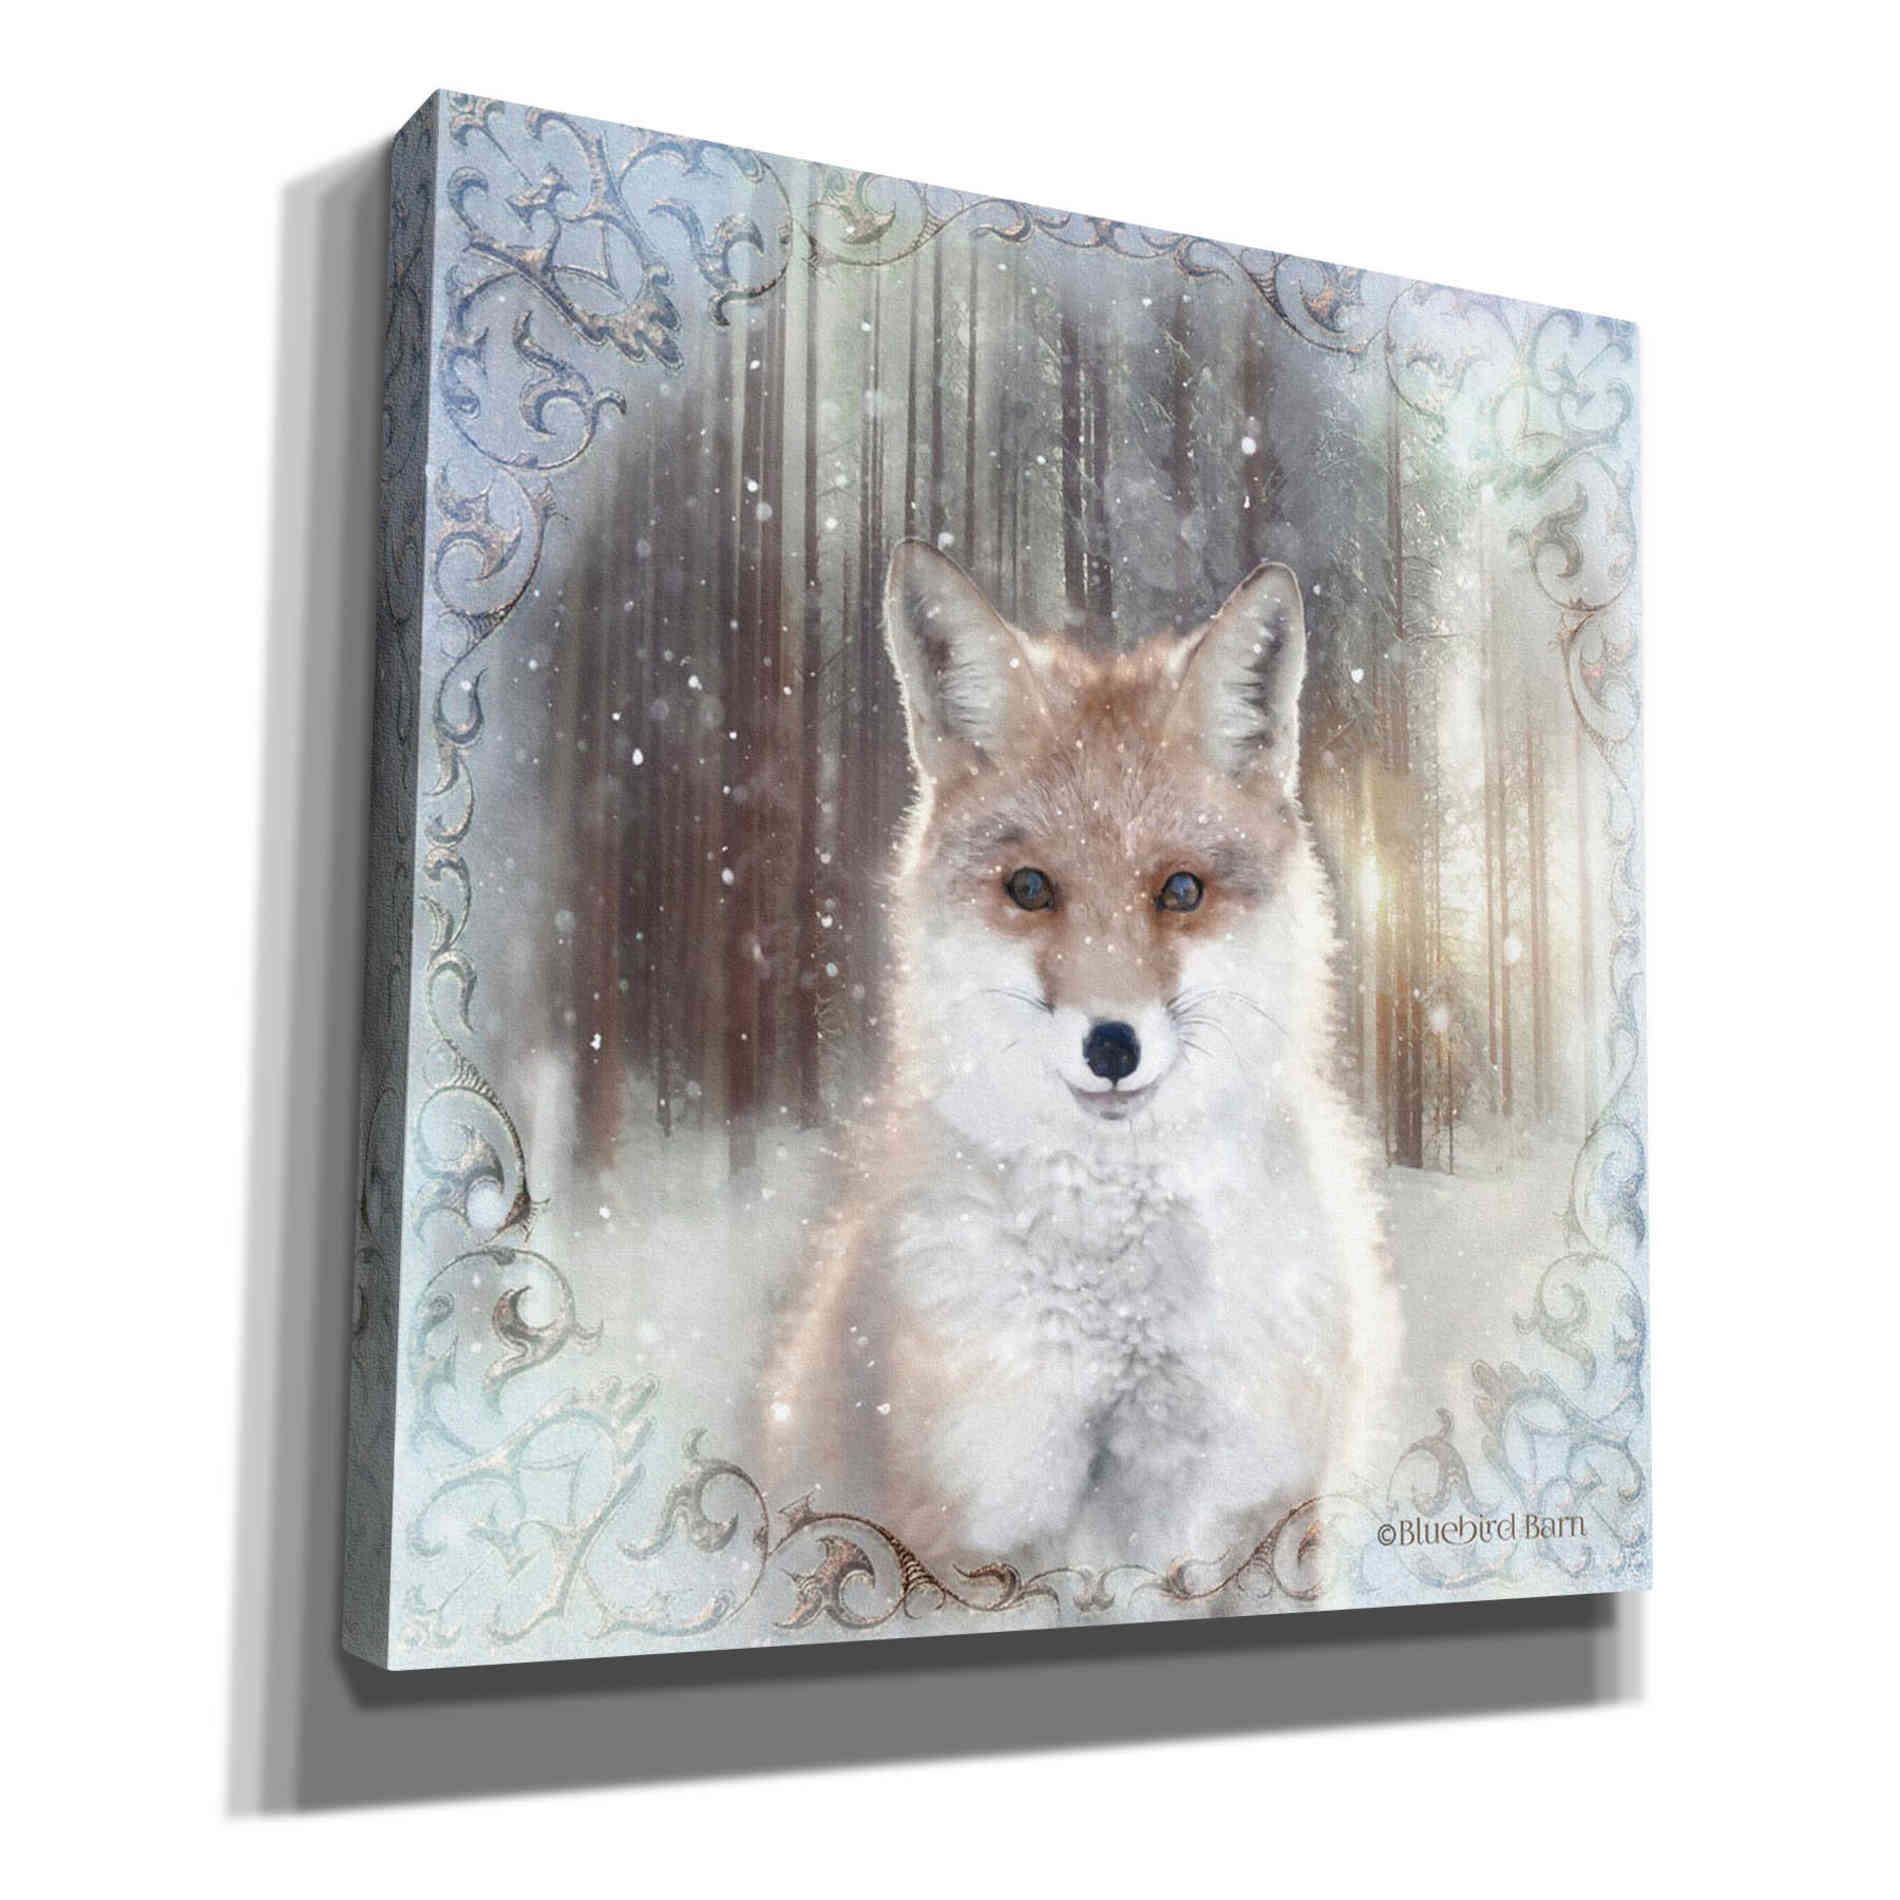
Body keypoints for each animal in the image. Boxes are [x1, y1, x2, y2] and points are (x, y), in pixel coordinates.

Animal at [763, 539, 1399, 1581]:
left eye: (1180, 890)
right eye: (1031, 889)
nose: (1112, 1045)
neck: (1121, 1341)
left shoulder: (1261, 1509)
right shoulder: (967, 1532)